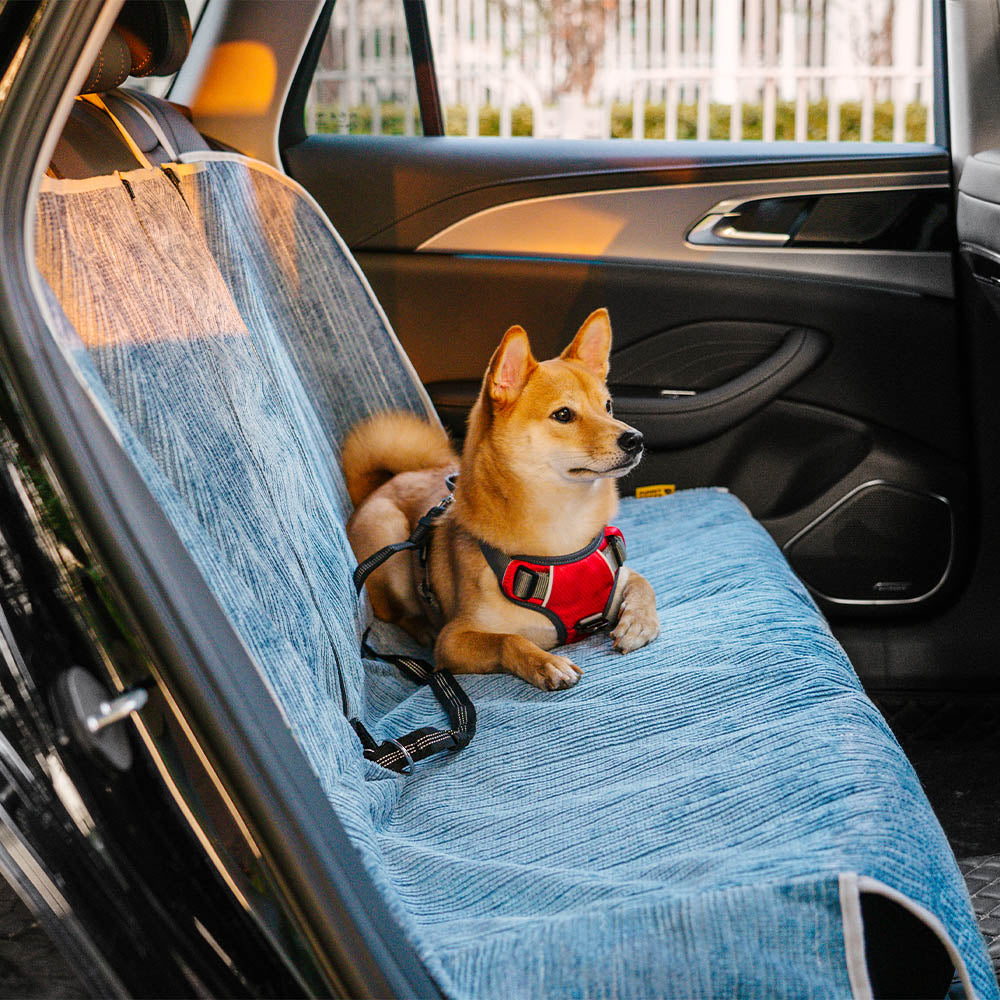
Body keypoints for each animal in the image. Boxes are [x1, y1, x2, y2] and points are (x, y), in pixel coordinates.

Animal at [342, 308, 656, 692]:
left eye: (608, 406)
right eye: (563, 415)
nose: (635, 439)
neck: (564, 529)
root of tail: (376, 487)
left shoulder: (622, 576)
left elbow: (644, 585)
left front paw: (637, 622)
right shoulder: (455, 640)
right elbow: (508, 640)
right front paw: (545, 663)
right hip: (389, 538)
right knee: (399, 613)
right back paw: (422, 627)